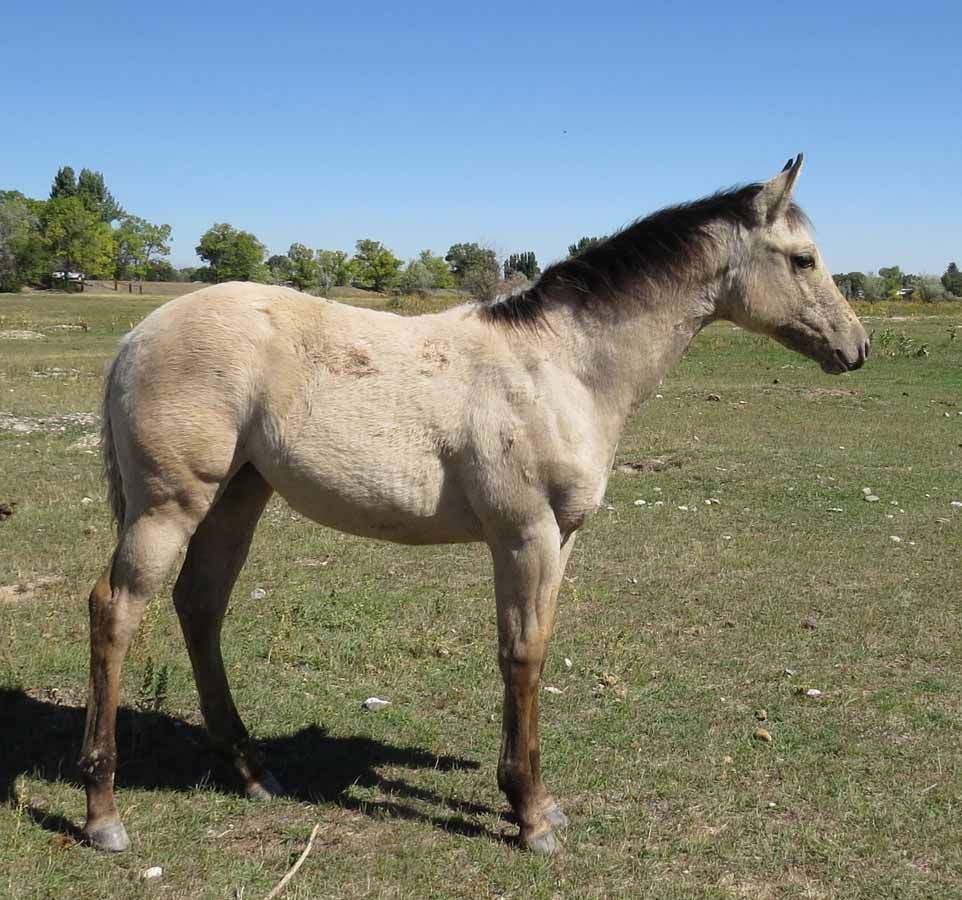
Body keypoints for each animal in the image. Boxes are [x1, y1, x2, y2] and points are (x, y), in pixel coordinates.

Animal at [78, 155, 868, 854]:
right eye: (804, 259)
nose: (857, 346)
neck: (563, 366)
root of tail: (137, 335)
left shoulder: (560, 539)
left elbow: (535, 648)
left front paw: (534, 800)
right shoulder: (525, 534)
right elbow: (522, 655)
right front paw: (531, 815)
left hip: (240, 494)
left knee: (200, 605)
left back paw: (250, 771)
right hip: (169, 506)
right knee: (116, 610)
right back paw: (102, 812)